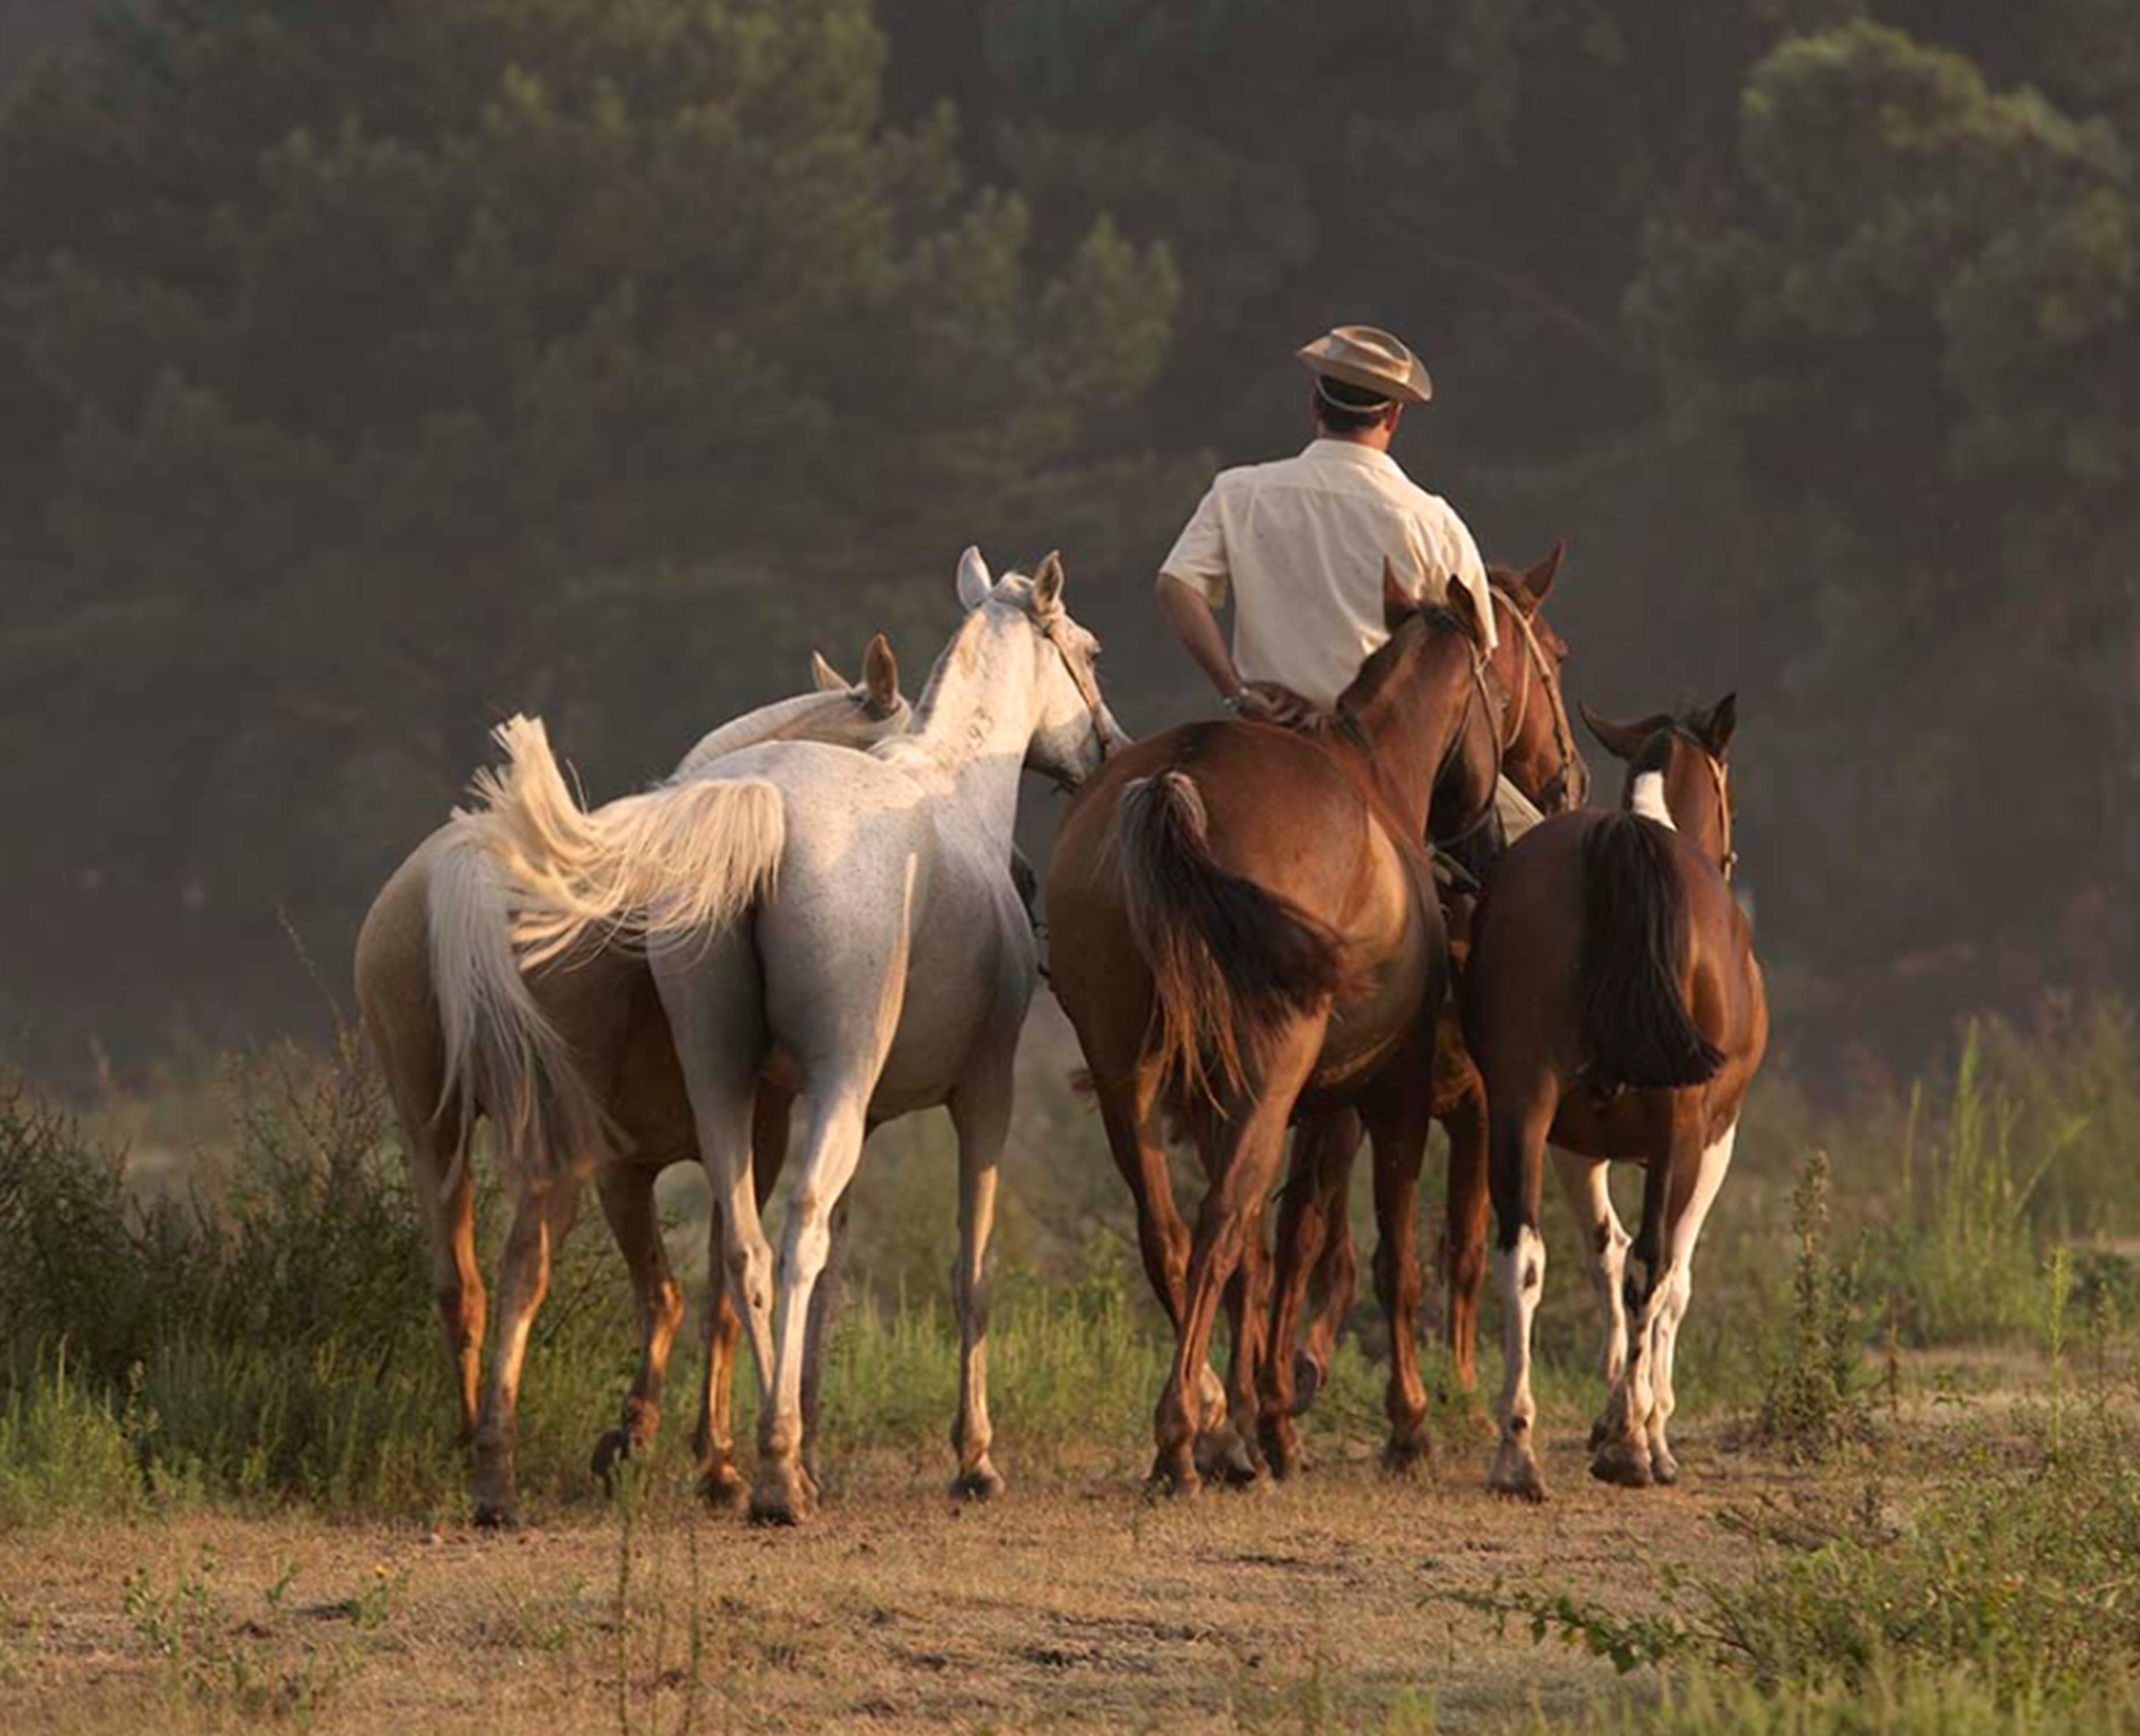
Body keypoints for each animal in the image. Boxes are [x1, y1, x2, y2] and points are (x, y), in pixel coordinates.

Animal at [354, 639, 908, 1525]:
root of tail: (464, 873)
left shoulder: (626, 1168)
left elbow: (667, 1294)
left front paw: (635, 1436)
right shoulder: (739, 1143)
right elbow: (719, 1293)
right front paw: (710, 1462)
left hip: (431, 1136)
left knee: (459, 1283)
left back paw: (471, 1440)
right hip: (549, 1154)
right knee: (521, 1273)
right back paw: (496, 1478)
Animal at [475, 550, 1123, 1523]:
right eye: (1086, 647)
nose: (1107, 748)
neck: (952, 789)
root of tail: (760, 815)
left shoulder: (851, 1115)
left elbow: (830, 1282)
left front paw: (809, 1442)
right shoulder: (980, 1095)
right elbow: (968, 1271)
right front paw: (972, 1459)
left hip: (722, 1089)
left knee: (733, 1249)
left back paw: (744, 1461)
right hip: (831, 1090)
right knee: (795, 1236)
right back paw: (774, 1472)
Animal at [1047, 567, 1503, 1493]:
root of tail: (1177, 782)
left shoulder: (1280, 1101)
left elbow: (1275, 1253)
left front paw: (1262, 1417)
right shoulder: (1387, 1092)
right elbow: (1385, 1258)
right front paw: (1404, 1425)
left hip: (1124, 1071)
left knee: (1171, 1233)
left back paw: (1202, 1431)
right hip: (1270, 1067)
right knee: (1222, 1223)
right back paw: (1187, 1436)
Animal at [1259, 547, 1588, 1477]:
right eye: (1554, 653)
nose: (1569, 779)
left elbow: (1332, 1239)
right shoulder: (1473, 1106)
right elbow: (1461, 1248)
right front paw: (1460, 1396)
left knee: (1294, 1234)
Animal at [1463, 696, 1766, 1499]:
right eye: (1730, 797)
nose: (1731, 859)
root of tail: (1620, 841)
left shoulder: (1573, 1145)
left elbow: (1603, 1255)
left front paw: (1612, 1411)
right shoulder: (1712, 1141)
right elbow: (1668, 1278)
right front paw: (1645, 1423)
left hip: (1522, 1102)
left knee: (1523, 1258)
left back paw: (1516, 1451)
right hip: (1678, 1126)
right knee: (1652, 1269)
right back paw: (1631, 1449)